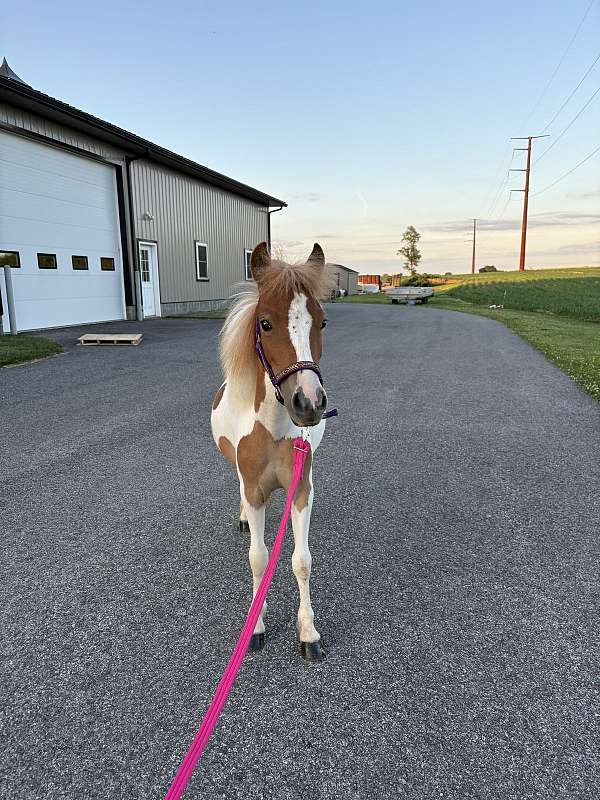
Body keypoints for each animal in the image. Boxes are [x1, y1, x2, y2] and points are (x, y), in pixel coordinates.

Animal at [210, 242, 332, 662]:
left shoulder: (301, 490)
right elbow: (259, 559)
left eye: (322, 322)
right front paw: (257, 626)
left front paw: (308, 633)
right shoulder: (255, 491)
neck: (275, 431)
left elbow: (301, 562)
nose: (308, 403)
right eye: (265, 323)